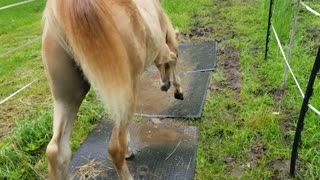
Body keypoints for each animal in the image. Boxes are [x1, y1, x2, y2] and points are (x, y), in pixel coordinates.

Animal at [41, 0, 184, 179]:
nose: (165, 86)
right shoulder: (163, 51)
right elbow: (173, 57)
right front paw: (179, 91)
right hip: (127, 88)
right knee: (115, 147)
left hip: (68, 96)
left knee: (56, 152)